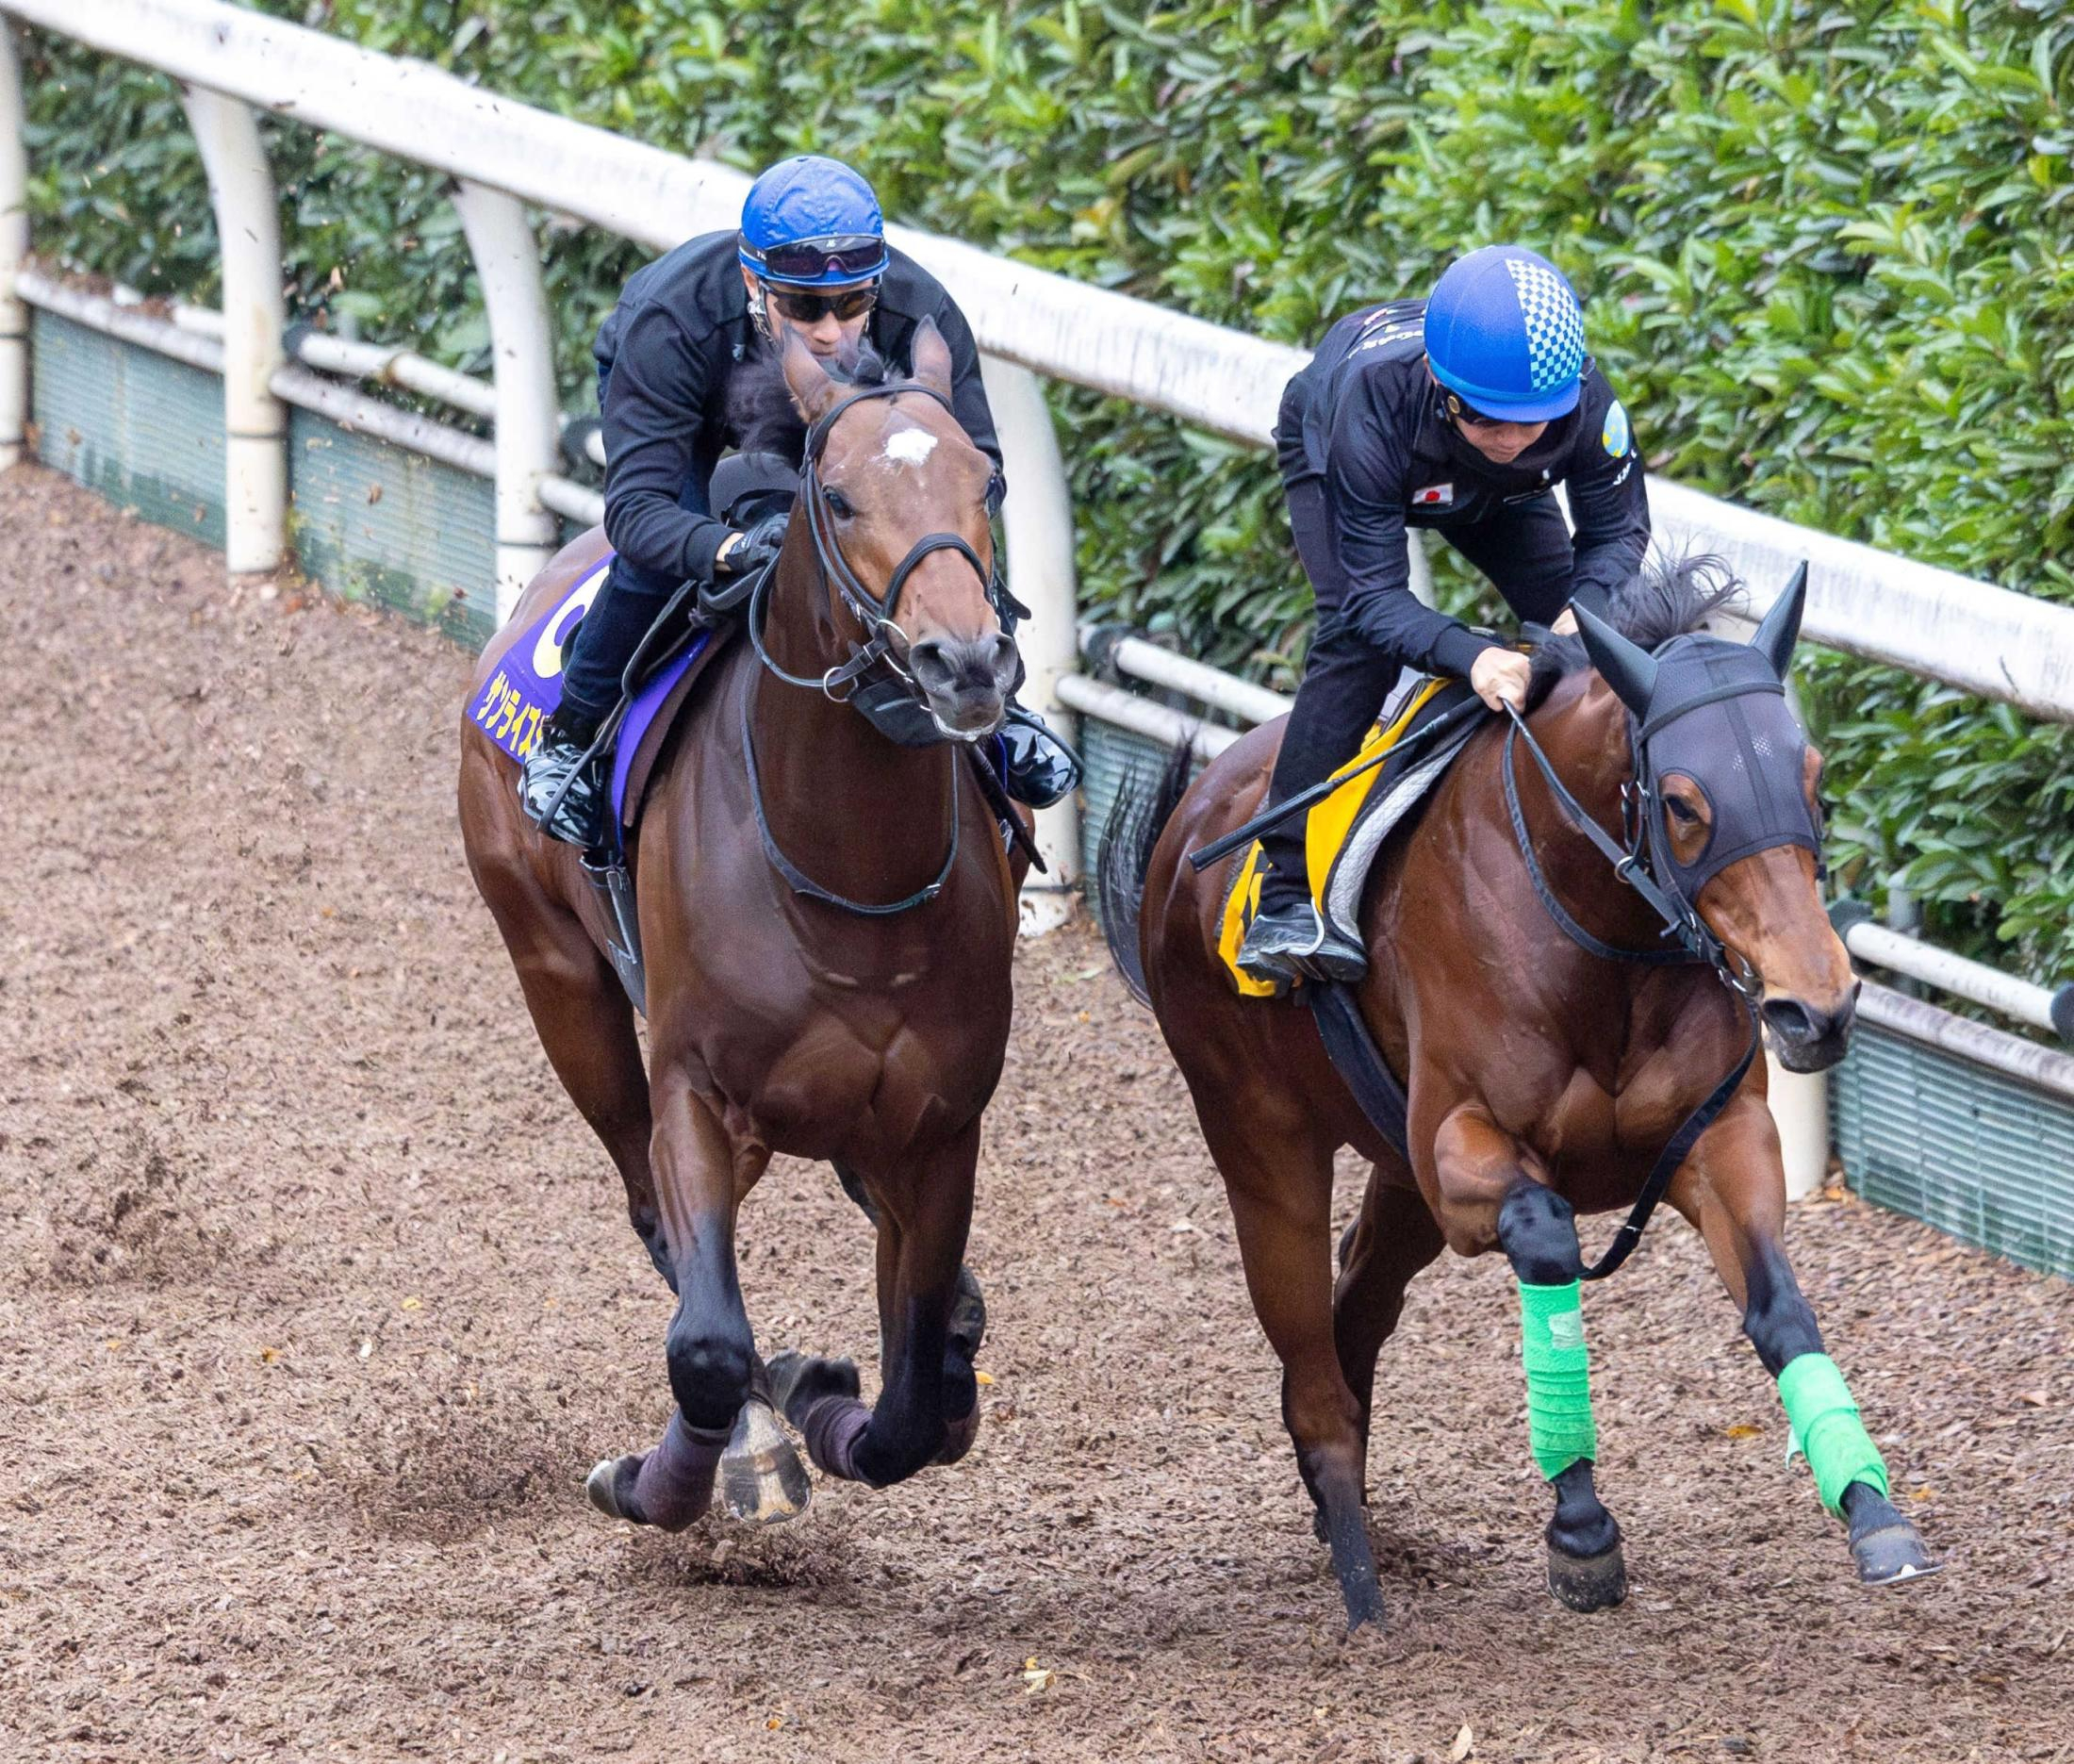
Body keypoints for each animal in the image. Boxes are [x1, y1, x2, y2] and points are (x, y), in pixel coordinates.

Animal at [462, 323, 1029, 1535]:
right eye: (839, 495)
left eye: (986, 480)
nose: (964, 662)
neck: (847, 884)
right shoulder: (696, 1088)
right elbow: (712, 1345)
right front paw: (696, 1466)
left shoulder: (939, 1126)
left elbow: (910, 1400)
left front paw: (841, 1393)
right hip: (557, 975)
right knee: (652, 1214)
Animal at [1111, 560, 1933, 1618]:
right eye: (1682, 803)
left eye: (1813, 779)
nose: (1817, 1007)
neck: (1598, 935)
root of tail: (1192, 818)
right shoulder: (1462, 1145)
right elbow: (1546, 1240)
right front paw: (1581, 1527)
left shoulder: (1721, 1136)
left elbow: (1780, 1305)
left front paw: (1873, 1508)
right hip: (1263, 1145)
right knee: (1308, 1357)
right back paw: (1359, 1581)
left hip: (1396, 1171)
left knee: (1354, 1308)